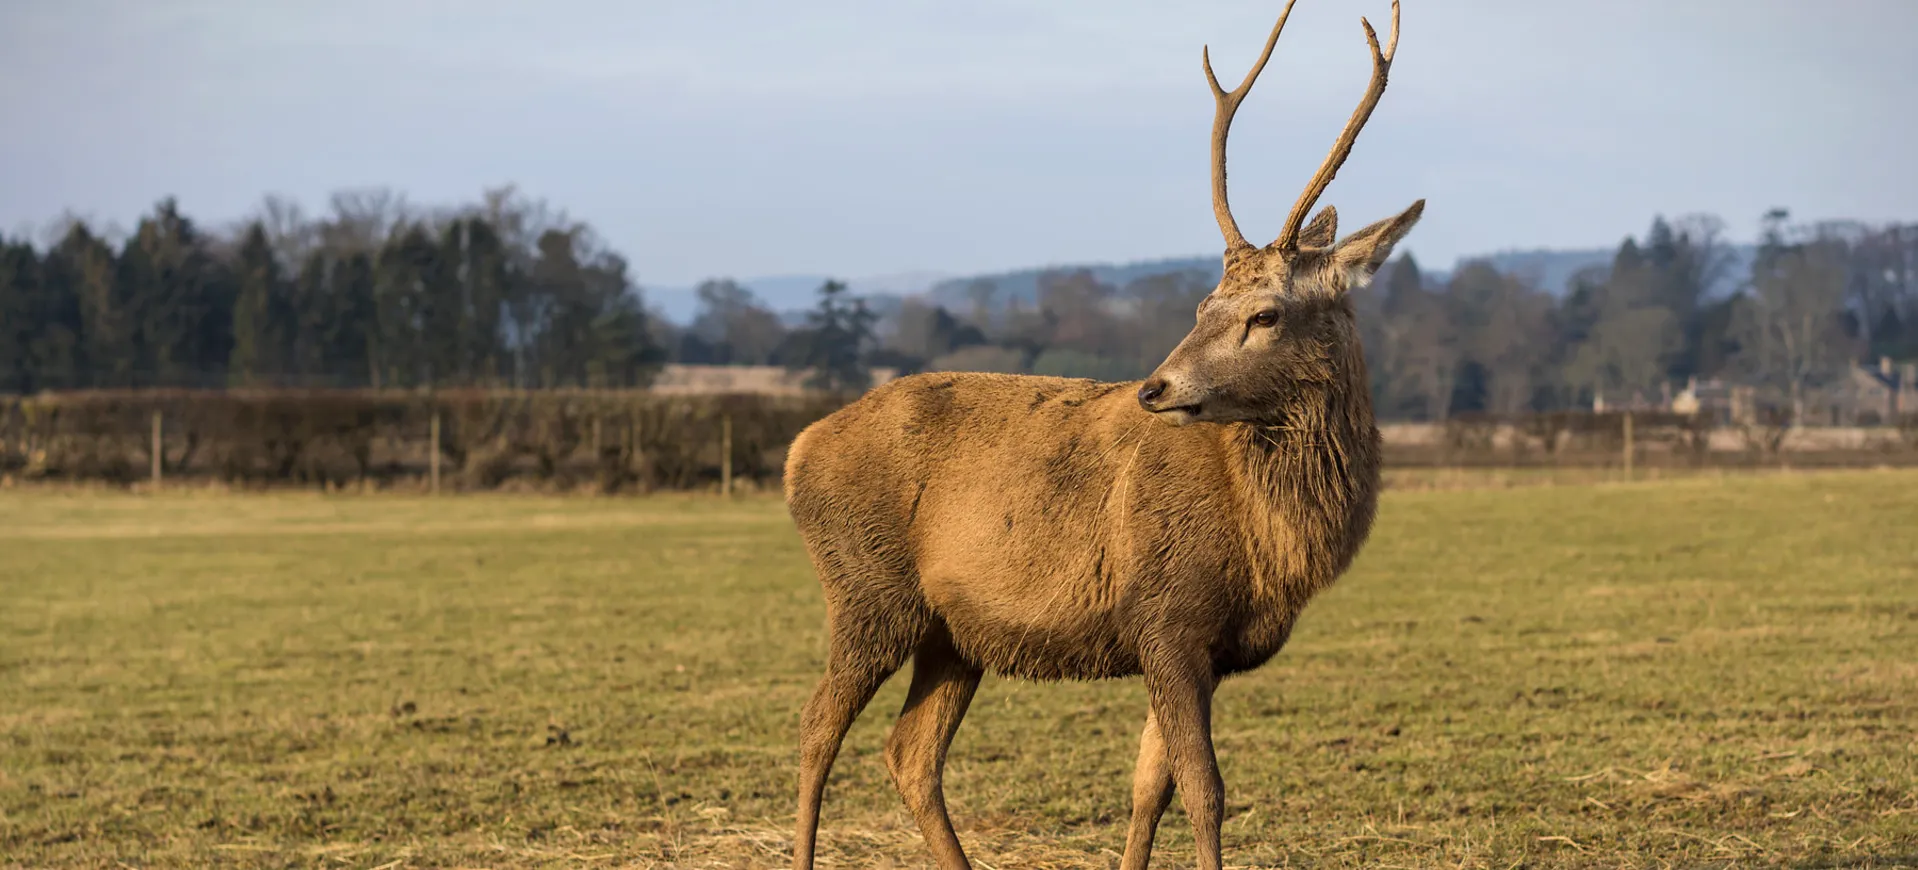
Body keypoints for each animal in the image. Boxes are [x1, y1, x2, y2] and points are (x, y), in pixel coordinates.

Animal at [778, 3, 1426, 866]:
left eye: (1266, 313)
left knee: (908, 751)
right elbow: (1205, 790)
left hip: (952, 633)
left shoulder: (1191, 643)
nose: (1157, 388)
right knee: (818, 727)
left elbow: (1150, 787)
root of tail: (796, 452)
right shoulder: (1168, 613)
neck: (1271, 546)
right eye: (1202, 305)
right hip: (865, 590)